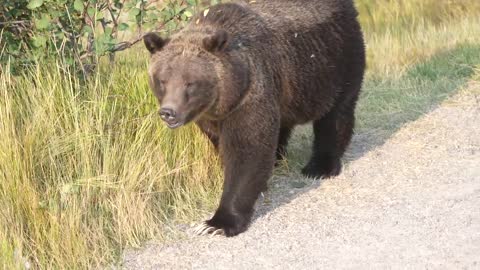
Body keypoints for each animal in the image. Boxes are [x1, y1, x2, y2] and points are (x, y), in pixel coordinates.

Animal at [142, 0, 364, 236]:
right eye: (162, 80)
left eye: (190, 83)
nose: (168, 112)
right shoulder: (211, 116)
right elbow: (226, 144)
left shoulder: (250, 94)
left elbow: (247, 150)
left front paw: (217, 223)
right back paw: (278, 159)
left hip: (336, 61)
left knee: (335, 115)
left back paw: (319, 167)